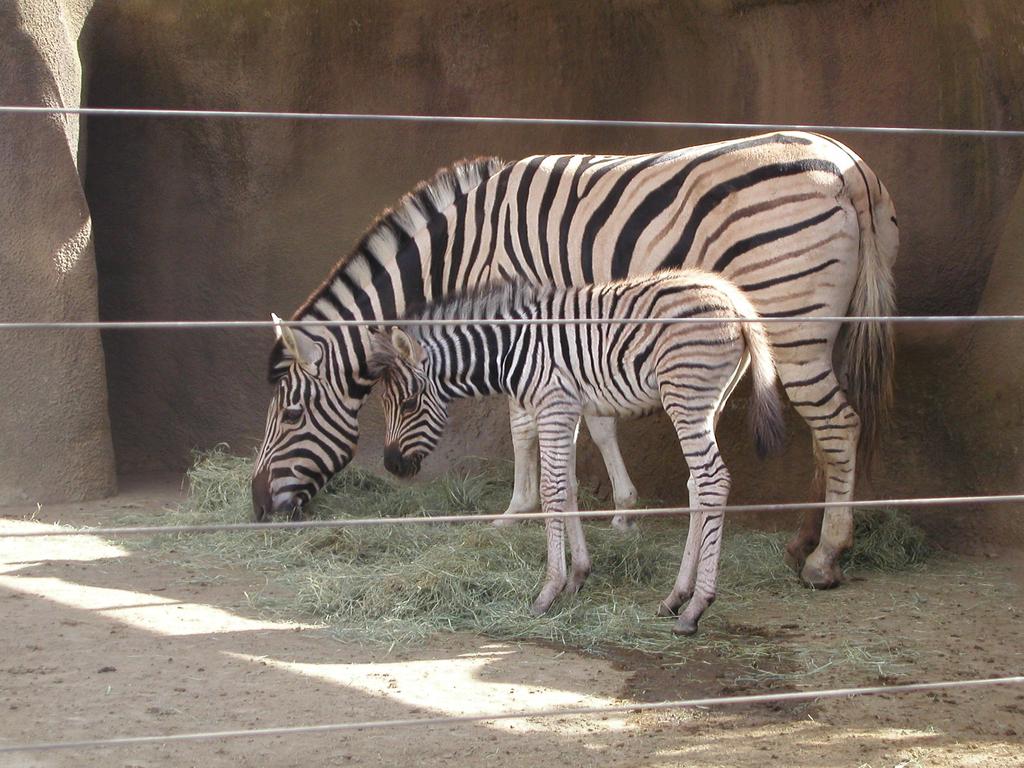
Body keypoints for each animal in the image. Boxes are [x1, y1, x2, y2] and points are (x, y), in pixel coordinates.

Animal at [253, 131, 897, 589]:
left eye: (289, 416)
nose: (257, 509)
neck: (462, 250)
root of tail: (850, 165)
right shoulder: (574, 333)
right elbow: (599, 420)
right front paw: (622, 512)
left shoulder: (521, 325)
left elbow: (523, 424)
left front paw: (517, 510)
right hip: (827, 329)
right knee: (828, 430)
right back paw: (802, 542)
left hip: (791, 318)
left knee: (840, 425)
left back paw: (826, 557)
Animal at [368, 270, 782, 638]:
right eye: (386, 405)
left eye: (408, 404)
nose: (391, 464)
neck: (510, 350)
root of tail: (735, 301)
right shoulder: (566, 409)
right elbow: (567, 488)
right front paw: (578, 575)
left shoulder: (553, 405)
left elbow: (552, 491)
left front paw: (549, 591)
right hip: (710, 403)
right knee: (698, 486)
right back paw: (675, 598)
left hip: (686, 396)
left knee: (713, 481)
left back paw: (696, 608)